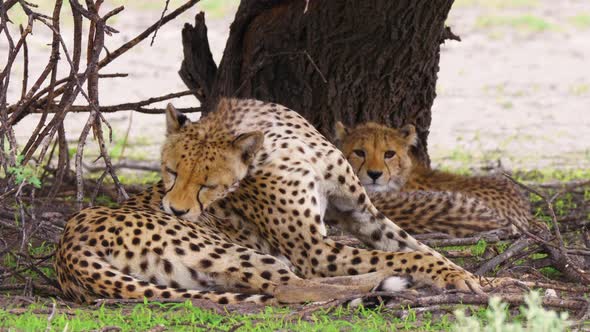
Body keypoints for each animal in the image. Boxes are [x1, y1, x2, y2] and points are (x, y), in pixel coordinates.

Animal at [55, 98, 490, 306]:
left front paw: (478, 278)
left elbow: (420, 248)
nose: (175, 210)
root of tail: (67, 246)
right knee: (291, 287)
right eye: (169, 172)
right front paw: (446, 276)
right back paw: (383, 285)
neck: (282, 141)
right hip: (236, 251)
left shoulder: (360, 212)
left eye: (207, 185)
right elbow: (404, 256)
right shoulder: (312, 249)